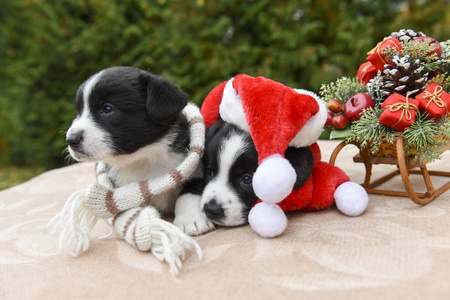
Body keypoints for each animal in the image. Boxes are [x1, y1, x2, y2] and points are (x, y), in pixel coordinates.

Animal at [66, 67, 213, 236]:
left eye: (107, 109)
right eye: (79, 112)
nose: (71, 140)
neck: (143, 159)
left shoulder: (196, 169)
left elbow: (189, 192)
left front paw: (191, 220)